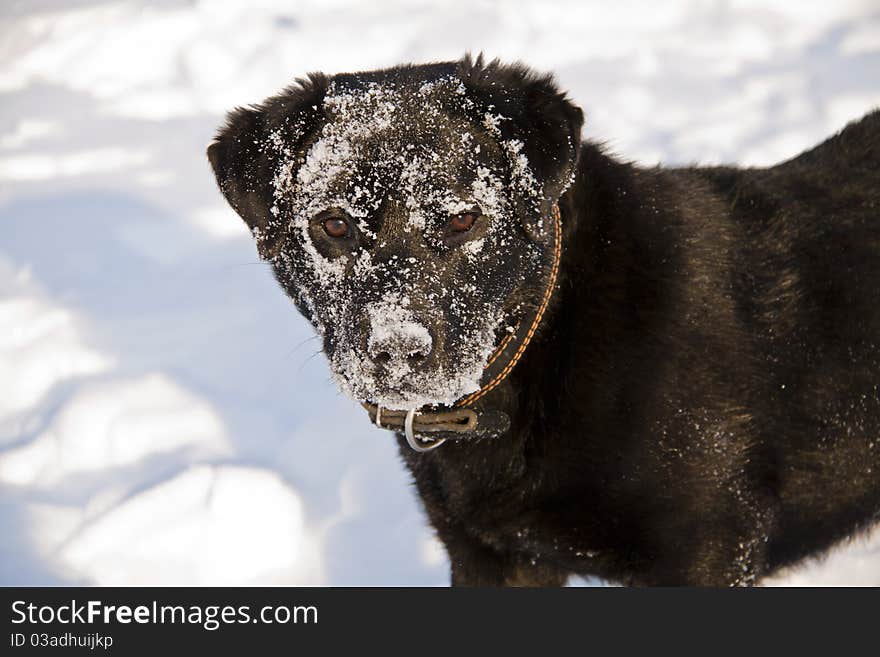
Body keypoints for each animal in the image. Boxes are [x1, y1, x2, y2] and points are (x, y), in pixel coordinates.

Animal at [210, 57, 880, 584]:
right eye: (334, 225)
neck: (546, 343)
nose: (399, 351)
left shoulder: (707, 551)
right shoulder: (491, 558)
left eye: (463, 218)